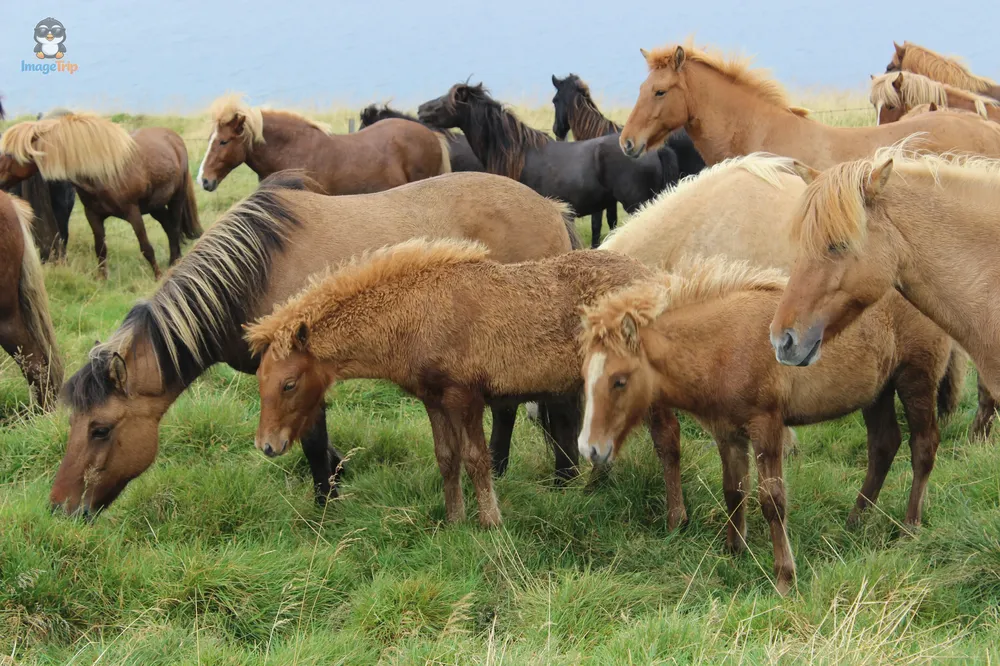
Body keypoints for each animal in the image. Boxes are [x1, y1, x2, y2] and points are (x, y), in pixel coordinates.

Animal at [0, 113, 202, 279]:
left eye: (9, 154)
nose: (0, 182)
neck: (102, 172)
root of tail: (174, 137)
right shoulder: (93, 215)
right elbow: (100, 248)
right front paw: (101, 279)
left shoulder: (133, 213)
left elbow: (146, 247)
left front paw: (158, 277)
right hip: (155, 206)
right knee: (169, 227)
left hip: (176, 199)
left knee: (174, 228)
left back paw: (174, 262)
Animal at [51, 170, 582, 518]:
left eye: (100, 429)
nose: (59, 508)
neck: (253, 272)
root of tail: (551, 207)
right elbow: (317, 441)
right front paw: (338, 478)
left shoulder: (303, 372)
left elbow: (311, 441)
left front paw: (326, 503)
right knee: (509, 407)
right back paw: (503, 466)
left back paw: (565, 477)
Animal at [246, 239, 655, 528]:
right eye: (260, 381)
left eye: (288, 384)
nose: (267, 445)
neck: (418, 314)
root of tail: (654, 276)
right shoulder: (434, 400)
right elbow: (447, 457)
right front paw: (455, 520)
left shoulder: (465, 396)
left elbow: (476, 459)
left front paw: (490, 523)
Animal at [579, 255, 955, 594]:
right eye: (585, 376)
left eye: (619, 380)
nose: (589, 448)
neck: (723, 346)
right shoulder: (727, 432)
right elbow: (733, 490)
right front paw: (733, 552)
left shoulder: (767, 426)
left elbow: (772, 500)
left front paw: (784, 578)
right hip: (878, 391)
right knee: (883, 445)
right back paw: (854, 522)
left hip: (916, 379)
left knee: (923, 447)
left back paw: (910, 527)